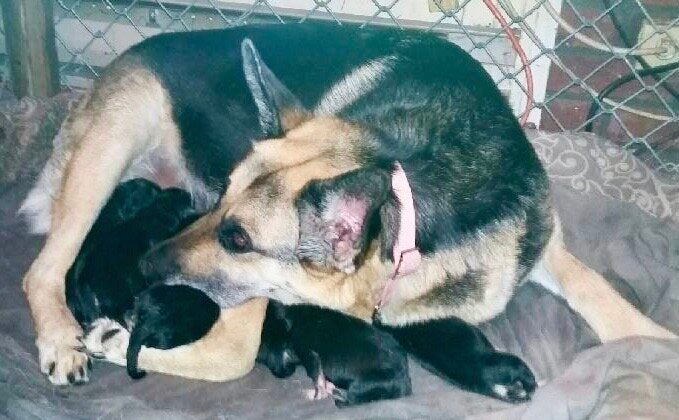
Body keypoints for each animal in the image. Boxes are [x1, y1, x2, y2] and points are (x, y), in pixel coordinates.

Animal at [21, 22, 676, 388]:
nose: (147, 267)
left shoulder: (539, 246)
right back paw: (62, 339)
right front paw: (111, 340)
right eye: (221, 198)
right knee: (41, 270)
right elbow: (233, 354)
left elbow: (612, 305)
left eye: (237, 237)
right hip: (108, 149)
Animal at [258, 300, 412, 408]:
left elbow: (315, 376)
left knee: (348, 401)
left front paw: (317, 393)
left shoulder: (305, 351)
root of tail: (406, 383)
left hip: (363, 384)